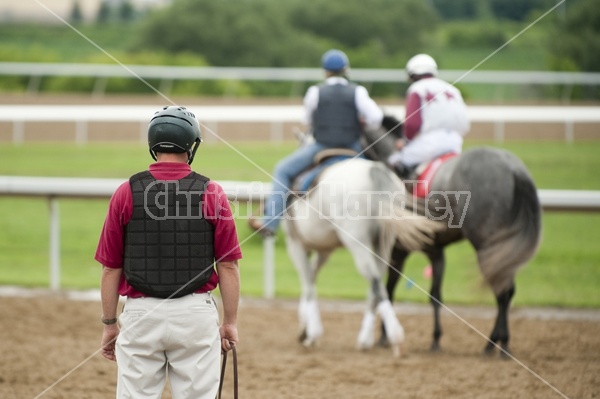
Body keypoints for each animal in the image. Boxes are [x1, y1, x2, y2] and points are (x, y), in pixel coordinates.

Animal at [360, 122, 544, 360]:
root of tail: (515, 170)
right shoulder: (435, 251)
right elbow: (435, 294)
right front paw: (435, 339)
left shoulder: (398, 250)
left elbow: (389, 290)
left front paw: (385, 336)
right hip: (501, 249)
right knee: (506, 290)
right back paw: (493, 343)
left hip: (487, 246)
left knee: (502, 291)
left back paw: (500, 344)